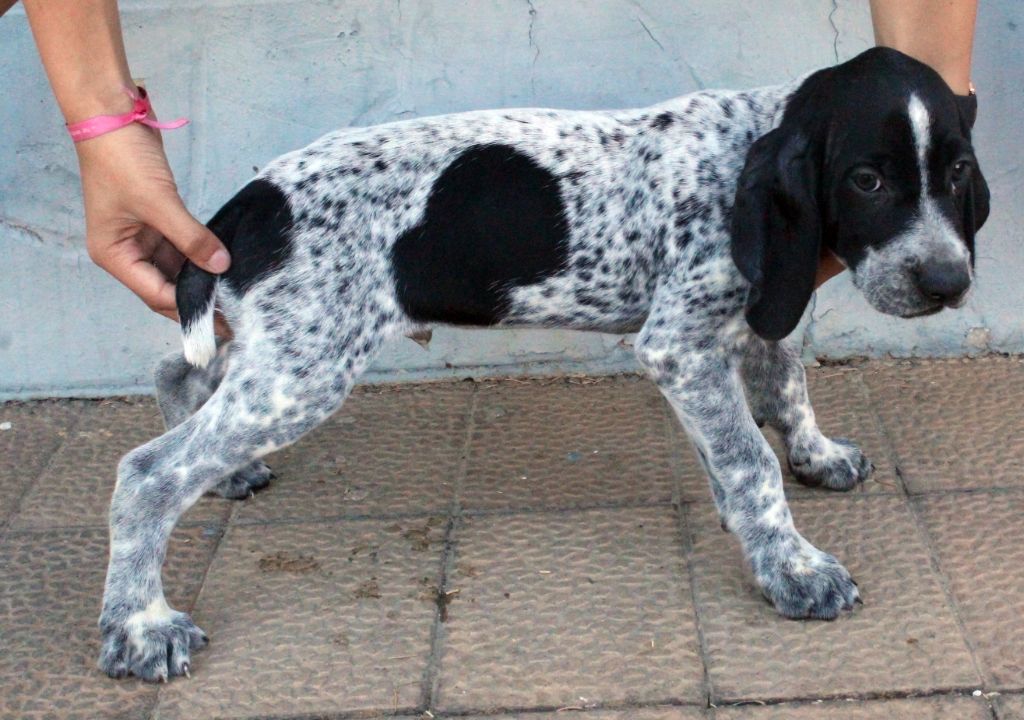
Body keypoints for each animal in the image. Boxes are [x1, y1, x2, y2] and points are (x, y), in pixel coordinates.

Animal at [99, 49, 987, 680]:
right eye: (866, 179)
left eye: (956, 174)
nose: (949, 283)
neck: (742, 153)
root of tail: (246, 204)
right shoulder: (680, 345)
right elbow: (746, 463)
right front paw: (793, 567)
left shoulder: (751, 309)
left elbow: (786, 385)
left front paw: (816, 454)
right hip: (305, 367)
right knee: (150, 473)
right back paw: (140, 624)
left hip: (275, 346)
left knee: (179, 377)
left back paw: (227, 481)